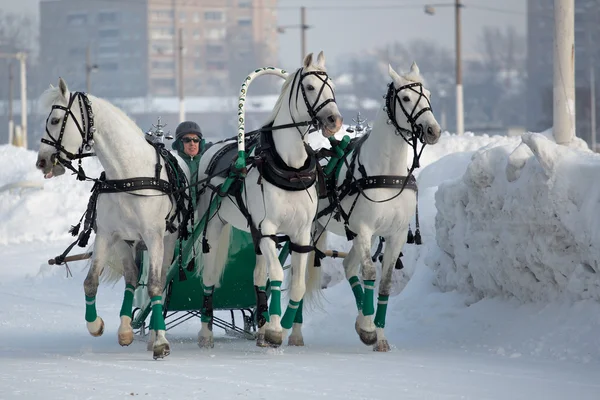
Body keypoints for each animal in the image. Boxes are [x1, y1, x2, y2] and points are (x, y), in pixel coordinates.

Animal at [35, 78, 190, 360]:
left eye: (54, 120)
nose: (42, 162)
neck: (127, 174)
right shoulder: (107, 236)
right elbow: (90, 282)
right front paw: (95, 324)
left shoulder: (154, 237)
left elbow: (154, 286)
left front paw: (161, 341)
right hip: (126, 243)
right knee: (131, 278)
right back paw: (126, 329)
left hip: (168, 242)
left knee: (160, 282)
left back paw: (154, 334)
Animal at [193, 52, 342, 346]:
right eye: (310, 87)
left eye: (331, 86)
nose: (334, 120)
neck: (289, 168)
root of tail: (213, 149)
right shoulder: (268, 230)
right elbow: (276, 275)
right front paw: (274, 329)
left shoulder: (301, 234)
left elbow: (295, 284)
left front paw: (277, 326)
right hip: (214, 226)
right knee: (210, 276)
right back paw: (206, 332)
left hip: (254, 233)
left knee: (258, 275)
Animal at [302, 61, 442, 350]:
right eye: (405, 98)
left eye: (429, 95)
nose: (433, 131)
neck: (386, 172)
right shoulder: (365, 229)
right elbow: (368, 272)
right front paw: (367, 328)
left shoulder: (394, 234)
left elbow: (385, 283)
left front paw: (378, 333)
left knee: (347, 266)